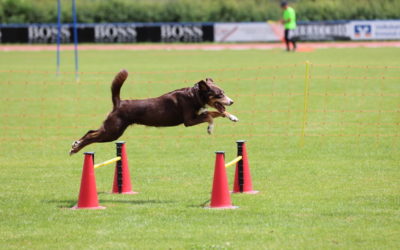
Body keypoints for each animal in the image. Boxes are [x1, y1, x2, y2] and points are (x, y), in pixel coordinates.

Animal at [69, 70, 239, 154]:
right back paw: (76, 148)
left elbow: (218, 113)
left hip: (111, 129)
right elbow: (210, 115)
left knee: (91, 131)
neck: (194, 96)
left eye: (224, 92)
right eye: (219, 94)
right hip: (113, 131)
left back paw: (76, 144)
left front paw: (232, 117)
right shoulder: (189, 121)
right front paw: (210, 128)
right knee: (91, 136)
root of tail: (119, 102)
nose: (231, 102)